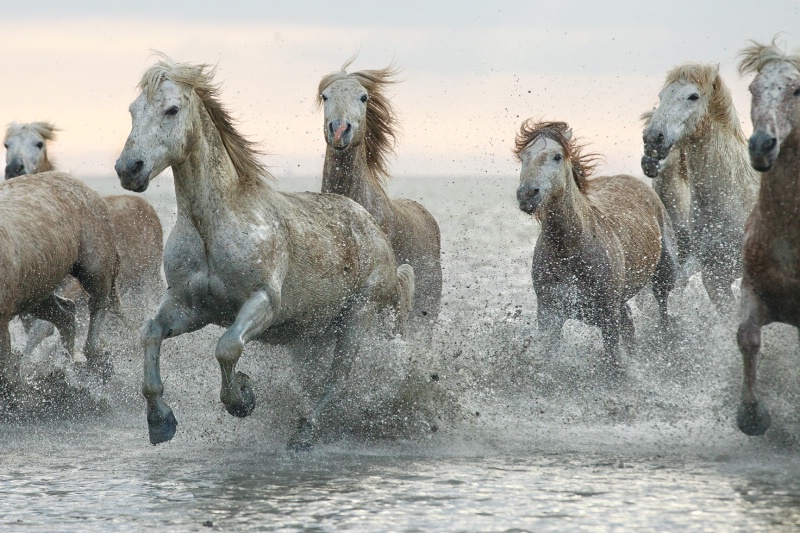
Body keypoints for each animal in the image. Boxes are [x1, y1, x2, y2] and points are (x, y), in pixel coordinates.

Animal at [115, 54, 416, 448]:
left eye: (171, 109)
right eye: (133, 110)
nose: (128, 169)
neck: (214, 225)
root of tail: (370, 224)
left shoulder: (262, 303)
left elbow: (227, 347)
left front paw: (242, 398)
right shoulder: (190, 307)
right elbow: (150, 334)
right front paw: (160, 421)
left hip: (356, 318)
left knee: (338, 378)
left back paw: (305, 431)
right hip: (312, 333)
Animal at [516, 119, 680, 366]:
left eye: (556, 156)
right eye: (522, 157)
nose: (527, 194)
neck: (570, 249)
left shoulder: (608, 316)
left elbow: (613, 360)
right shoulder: (549, 314)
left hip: (664, 274)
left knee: (663, 308)